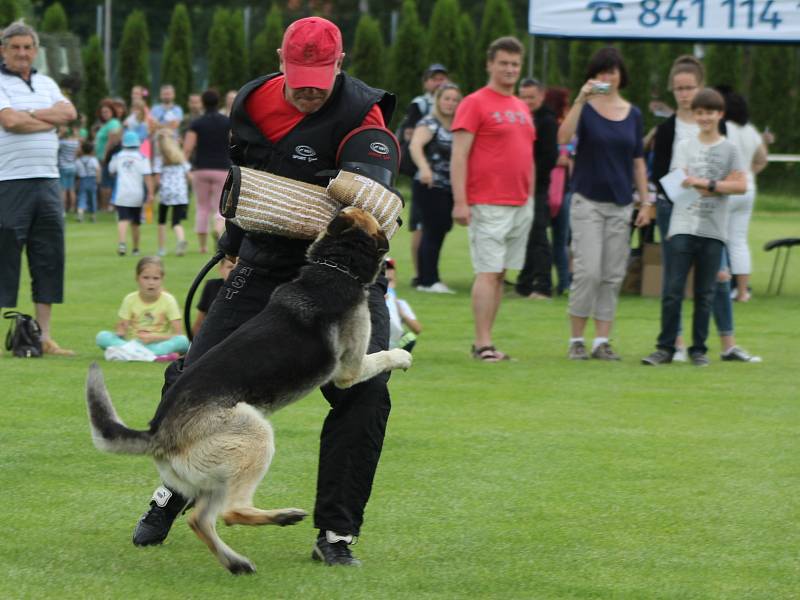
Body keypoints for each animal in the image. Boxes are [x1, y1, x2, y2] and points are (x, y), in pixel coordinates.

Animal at [86, 209, 412, 576]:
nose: (400, 217)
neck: (334, 264)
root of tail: (157, 434)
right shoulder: (350, 370)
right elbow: (381, 357)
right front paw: (402, 356)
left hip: (219, 473)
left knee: (200, 519)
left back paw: (236, 562)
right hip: (254, 435)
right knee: (232, 511)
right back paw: (283, 517)